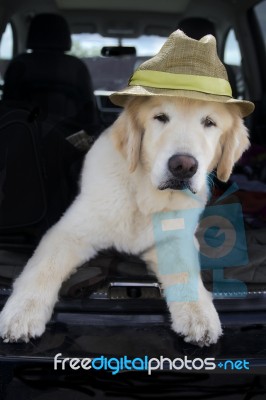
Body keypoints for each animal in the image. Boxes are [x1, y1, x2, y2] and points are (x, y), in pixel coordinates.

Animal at [0, 95, 249, 346]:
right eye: (160, 117)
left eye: (209, 122)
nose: (183, 166)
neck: (144, 198)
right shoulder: (68, 232)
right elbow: (44, 268)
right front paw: (22, 312)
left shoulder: (175, 239)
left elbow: (184, 271)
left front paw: (198, 314)